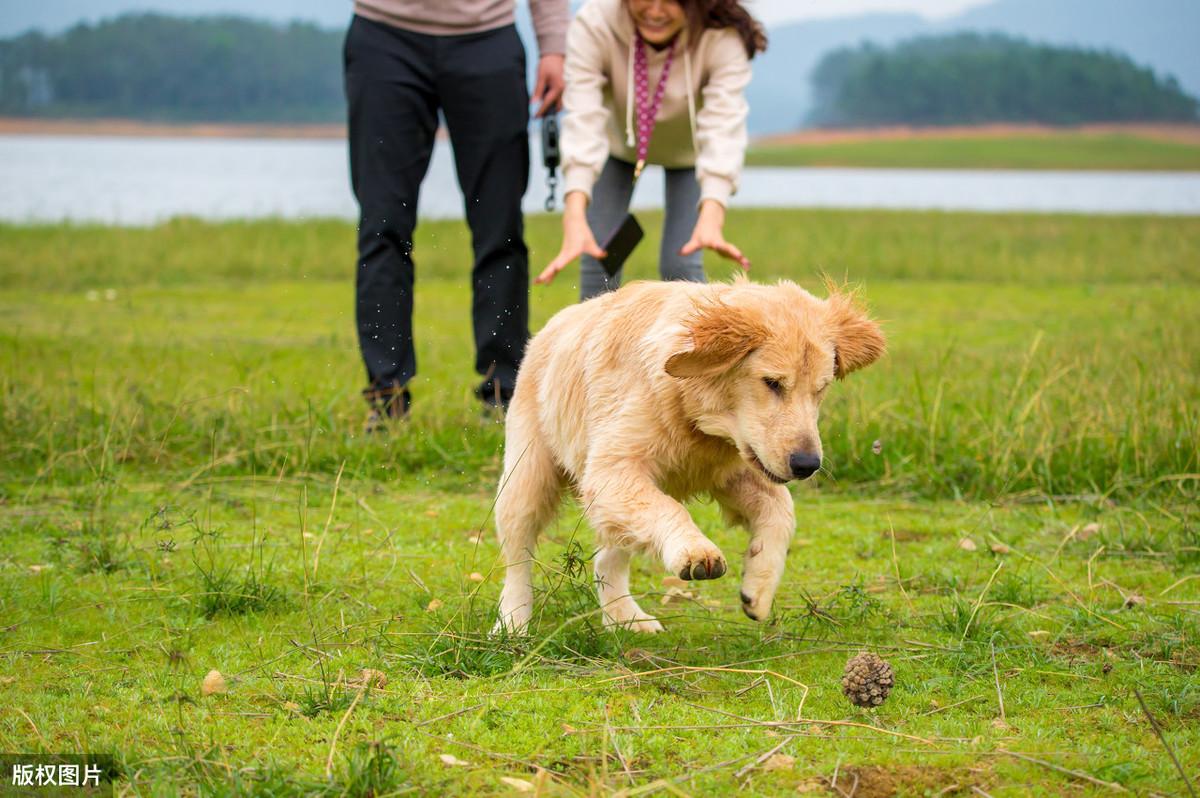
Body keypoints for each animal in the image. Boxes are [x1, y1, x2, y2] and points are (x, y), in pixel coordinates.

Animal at [494, 277, 883, 633]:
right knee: (517, 557)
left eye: (821, 389)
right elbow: (669, 507)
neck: (696, 418)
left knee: (608, 558)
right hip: (527, 477)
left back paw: (626, 618)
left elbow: (781, 511)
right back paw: (513, 623)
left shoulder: (734, 470)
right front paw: (696, 551)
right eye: (772, 383)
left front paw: (757, 588)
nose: (807, 465)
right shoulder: (611, 470)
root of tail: (553, 325)